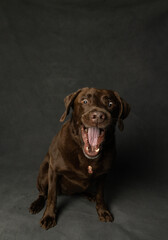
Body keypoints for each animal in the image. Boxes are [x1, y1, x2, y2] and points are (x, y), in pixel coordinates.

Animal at [28, 87, 130, 230]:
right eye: (85, 101)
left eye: (110, 104)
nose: (98, 116)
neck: (85, 155)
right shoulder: (54, 171)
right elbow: (52, 196)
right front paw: (48, 216)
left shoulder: (103, 175)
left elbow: (100, 194)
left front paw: (103, 210)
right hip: (43, 174)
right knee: (43, 193)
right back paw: (36, 204)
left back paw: (90, 195)